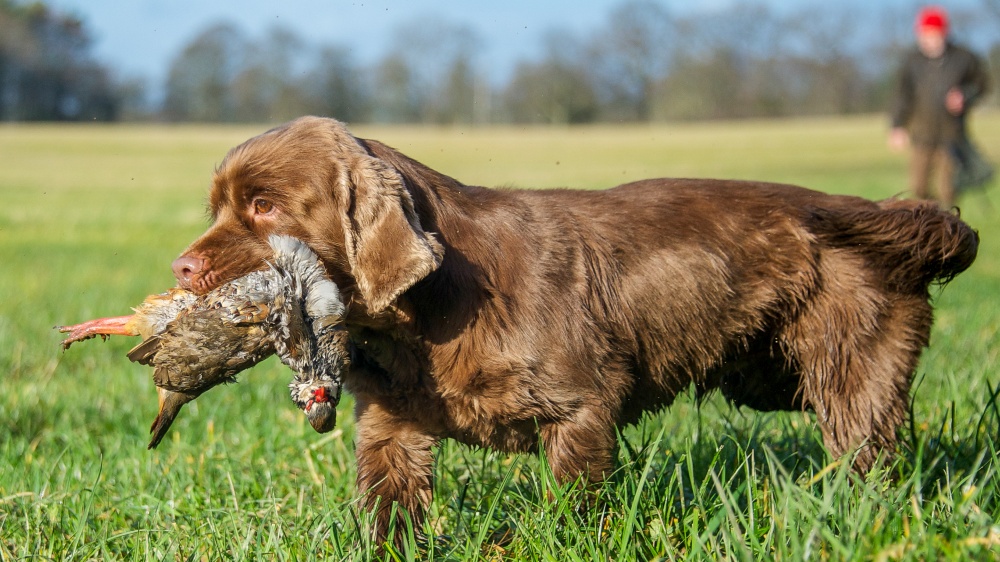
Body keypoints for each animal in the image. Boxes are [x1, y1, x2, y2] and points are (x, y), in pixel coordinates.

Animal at [172, 115, 976, 544]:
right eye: (219, 207)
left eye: (266, 205)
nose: (181, 267)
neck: (428, 316)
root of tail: (875, 211)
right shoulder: (392, 429)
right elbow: (389, 509)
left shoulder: (580, 411)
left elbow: (576, 505)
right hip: (775, 376)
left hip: (850, 372)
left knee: (871, 457)